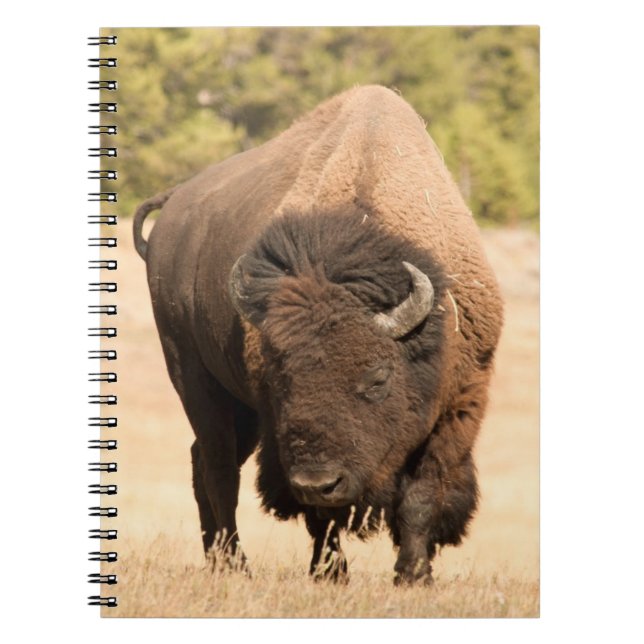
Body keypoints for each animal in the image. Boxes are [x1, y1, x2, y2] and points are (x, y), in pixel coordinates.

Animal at [134, 85, 503, 585]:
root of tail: (174, 205)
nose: (318, 481)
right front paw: (331, 574)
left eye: (377, 378)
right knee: (218, 469)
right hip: (194, 379)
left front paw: (413, 575)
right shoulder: (281, 431)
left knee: (203, 462)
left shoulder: (459, 406)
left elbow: (422, 496)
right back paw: (235, 564)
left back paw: (217, 560)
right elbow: (321, 516)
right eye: (281, 379)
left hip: (239, 410)